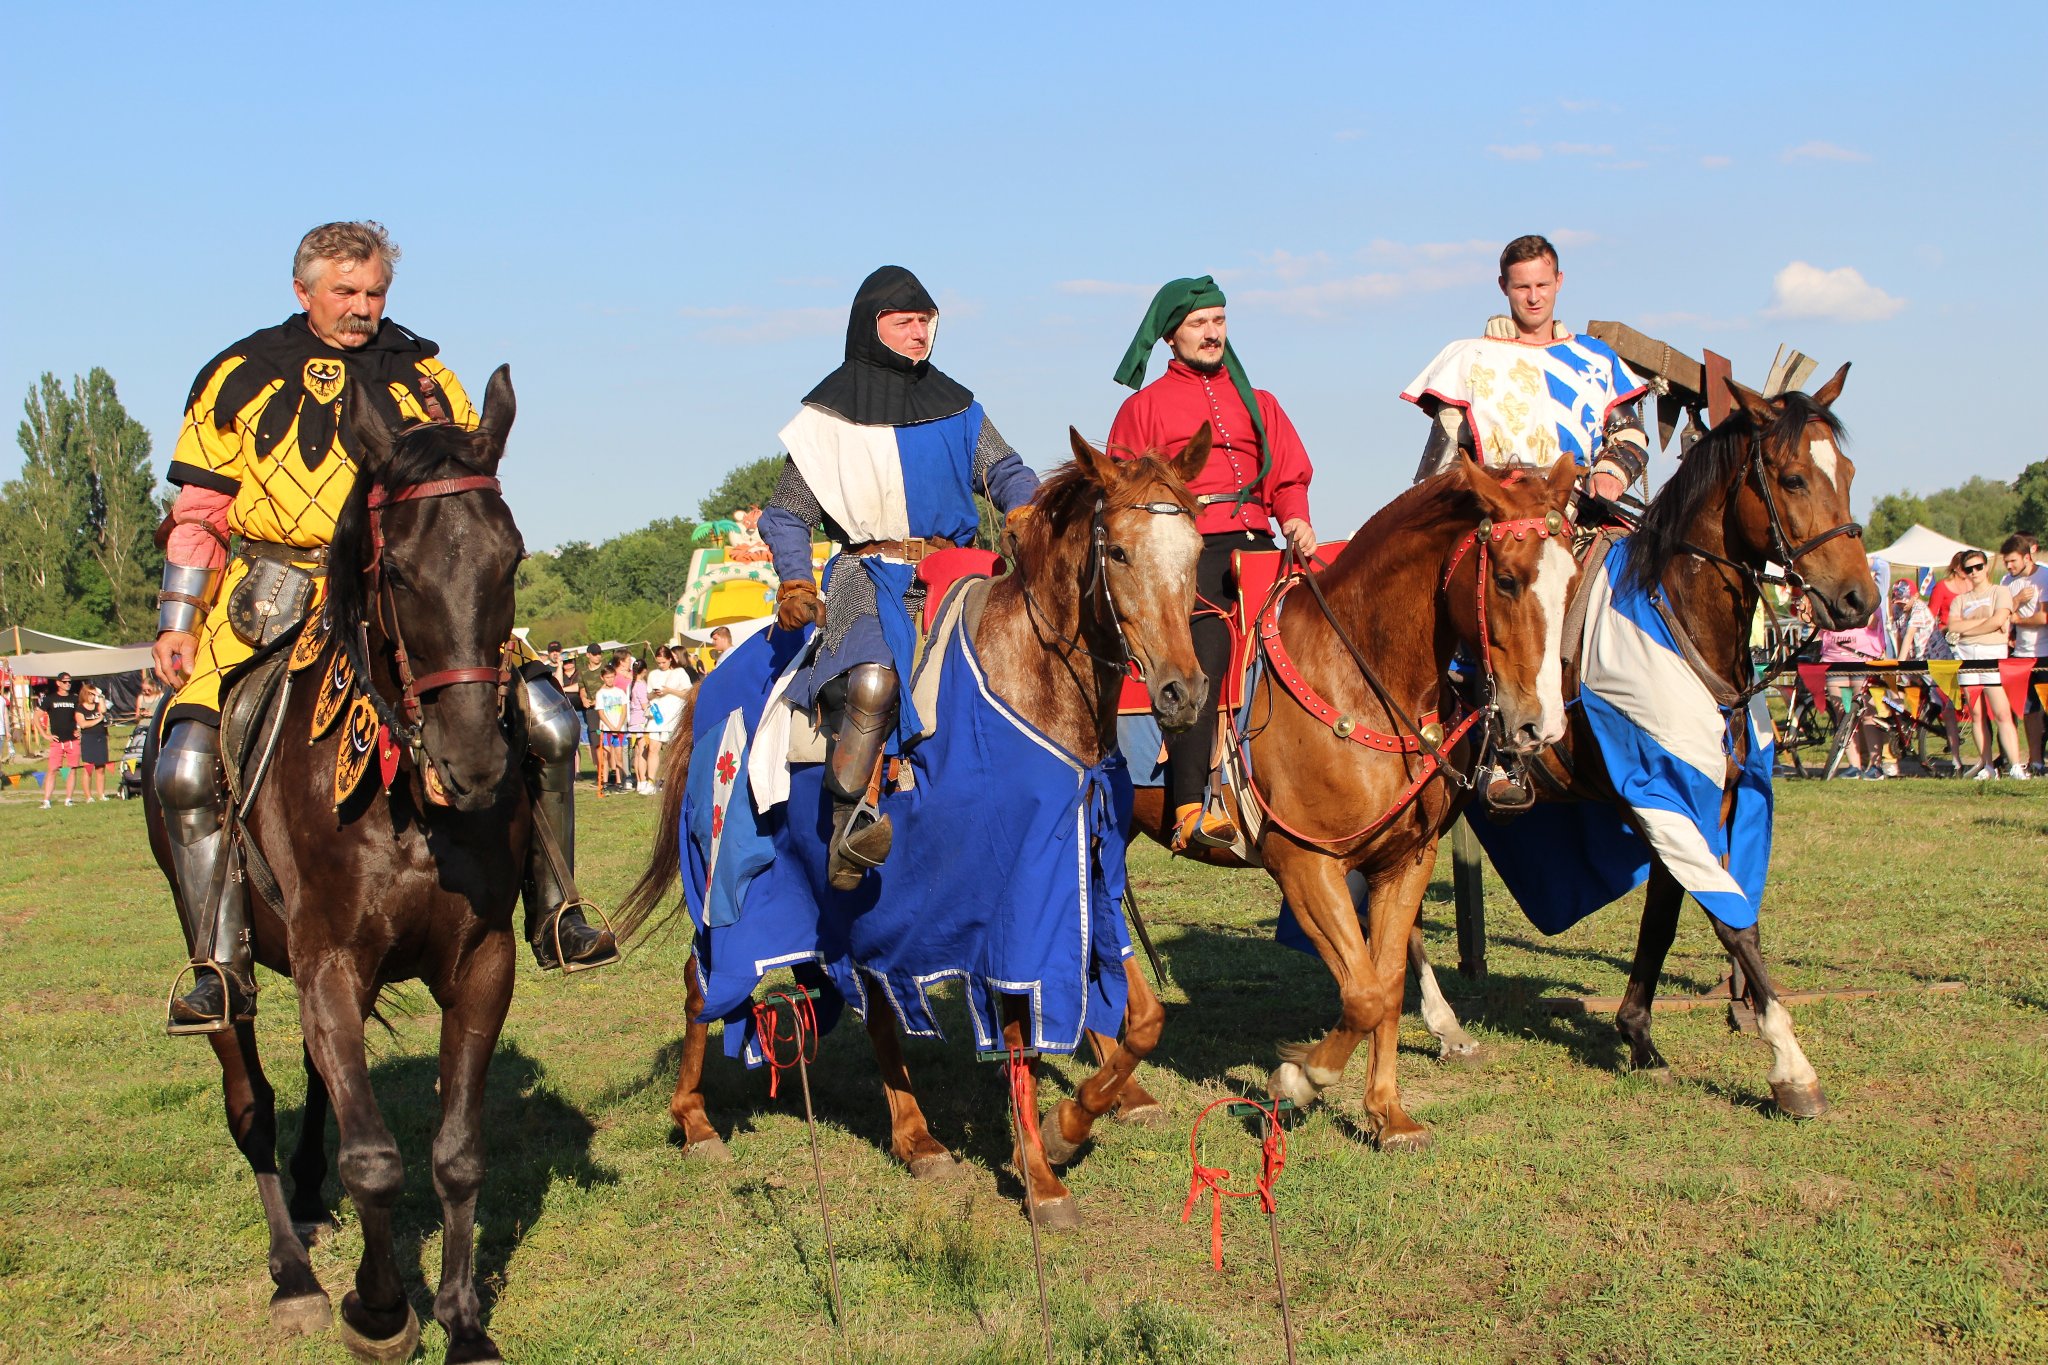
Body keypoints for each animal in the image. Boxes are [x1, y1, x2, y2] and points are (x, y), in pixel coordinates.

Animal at [614, 427, 1204, 1227]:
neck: (1033, 680)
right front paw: (1042, 1175)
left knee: (872, 1003)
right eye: (1117, 552)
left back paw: (915, 1137)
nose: (1182, 691)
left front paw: (1066, 1126)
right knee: (702, 983)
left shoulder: (1082, 879)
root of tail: (708, 680)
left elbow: (1142, 1019)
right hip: (721, 882)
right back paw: (695, 1120)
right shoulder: (1006, 895)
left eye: (1197, 549)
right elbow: (1017, 1034)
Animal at [1105, 450, 1581, 1154]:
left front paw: (1389, 1115)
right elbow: (1361, 993)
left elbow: (1383, 983)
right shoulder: (1306, 864)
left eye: (1572, 581)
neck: (1356, 672)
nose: (1539, 727)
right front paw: (1298, 1079)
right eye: (1508, 580)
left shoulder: (1405, 862)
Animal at [1400, 368, 1875, 1113]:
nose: (1858, 599)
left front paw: (1640, 1037)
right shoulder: (1657, 790)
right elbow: (1730, 921)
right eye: (1794, 478)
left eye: (1847, 472)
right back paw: (1441, 1024)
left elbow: (1673, 913)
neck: (1676, 612)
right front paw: (1791, 1066)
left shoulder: (1703, 799)